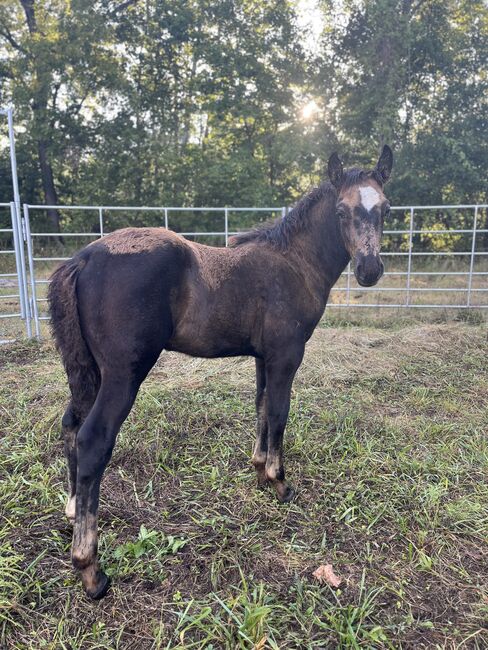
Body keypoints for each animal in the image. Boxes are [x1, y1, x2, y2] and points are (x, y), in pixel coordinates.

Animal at [48, 146, 393, 599]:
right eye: (341, 210)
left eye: (385, 209)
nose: (370, 269)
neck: (294, 262)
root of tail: (83, 258)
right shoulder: (287, 354)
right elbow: (279, 413)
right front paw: (279, 482)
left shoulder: (264, 356)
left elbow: (261, 406)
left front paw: (259, 467)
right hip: (123, 375)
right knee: (93, 439)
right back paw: (90, 569)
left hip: (87, 371)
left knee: (71, 426)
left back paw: (73, 509)